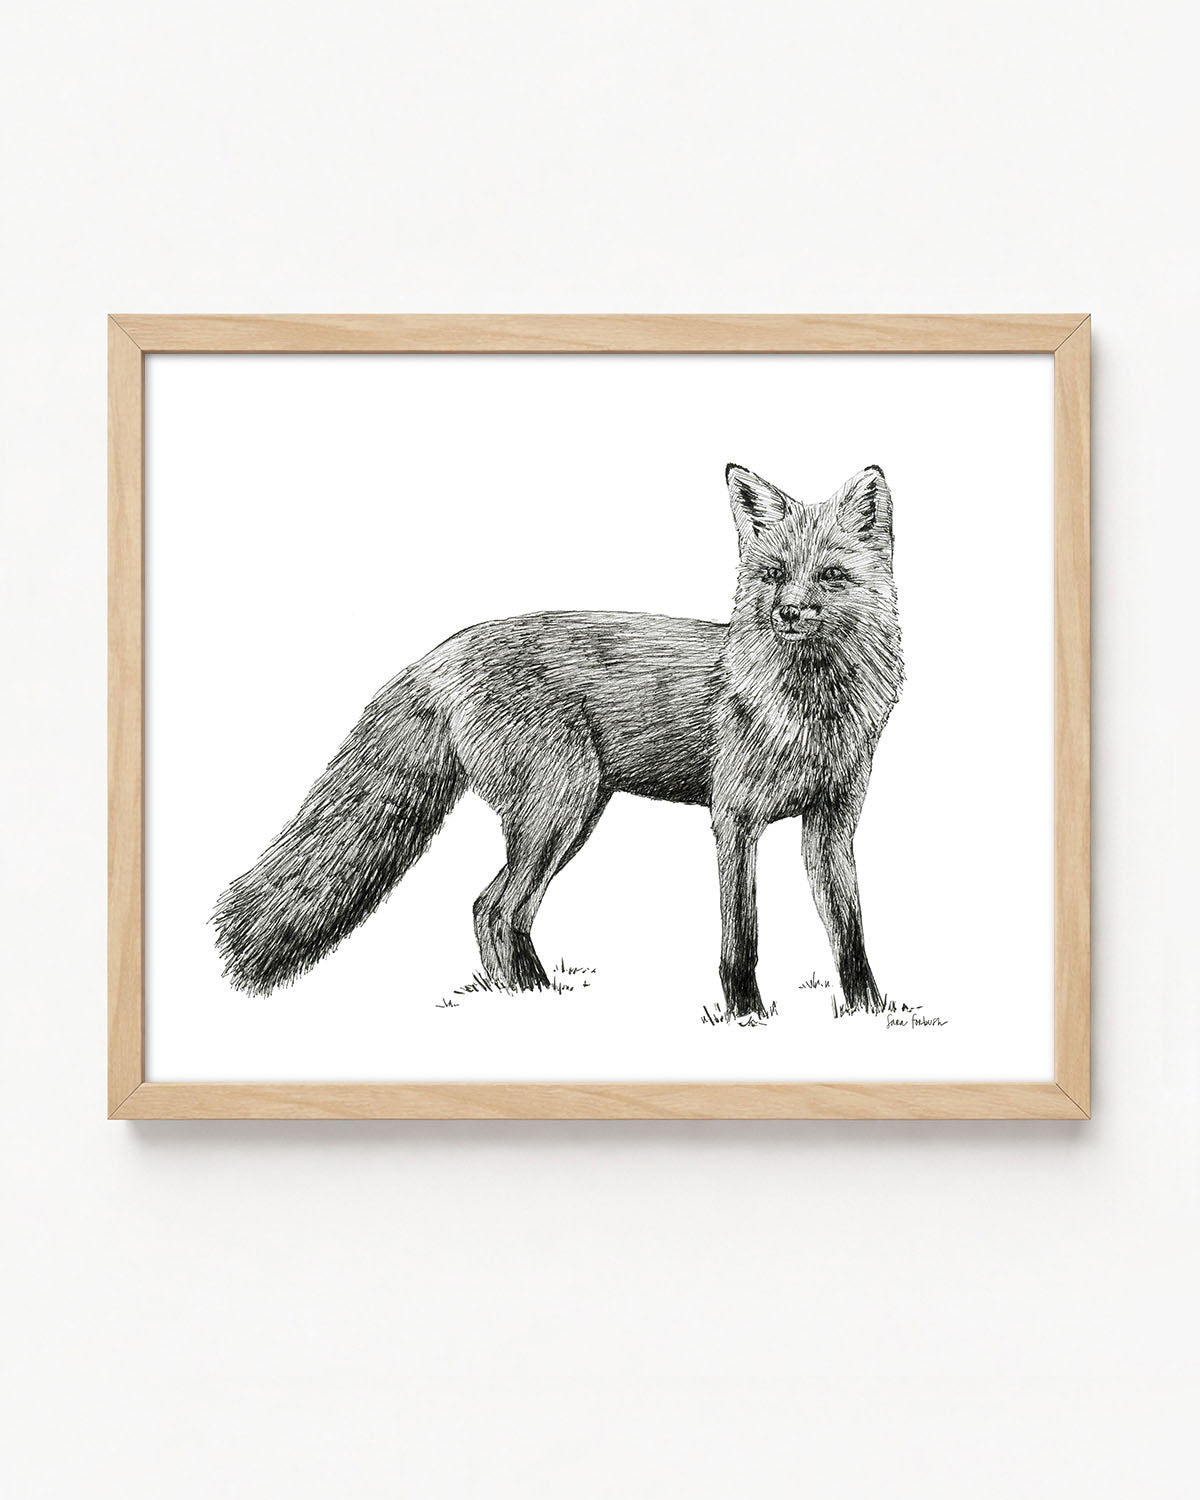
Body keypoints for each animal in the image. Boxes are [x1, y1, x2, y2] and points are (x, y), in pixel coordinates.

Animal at [214, 462, 903, 1018]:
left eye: (831, 576)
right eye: (775, 574)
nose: (788, 611)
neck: (811, 709)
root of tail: (437, 655)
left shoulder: (832, 827)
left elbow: (850, 932)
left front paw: (868, 1012)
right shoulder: (733, 820)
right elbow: (743, 937)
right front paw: (746, 1016)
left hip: (573, 818)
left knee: (495, 911)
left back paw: (531, 997)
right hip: (559, 812)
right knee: (494, 908)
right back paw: (535, 1002)